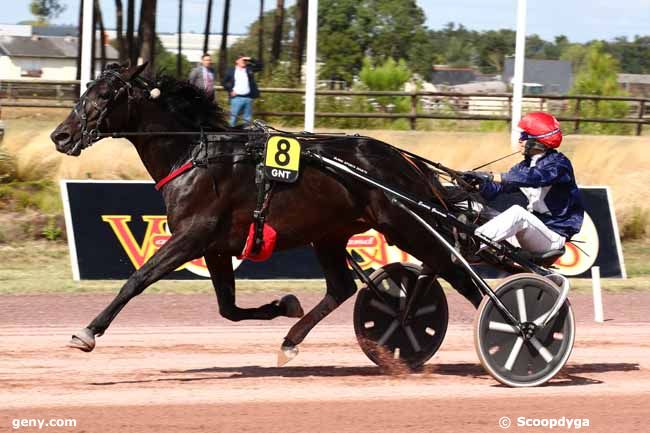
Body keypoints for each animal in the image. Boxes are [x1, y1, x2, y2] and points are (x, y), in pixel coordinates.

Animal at [50, 63, 480, 362]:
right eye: (87, 90)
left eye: (106, 95)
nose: (61, 135)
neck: (196, 155)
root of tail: (407, 163)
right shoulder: (215, 247)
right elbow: (228, 309)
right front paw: (283, 305)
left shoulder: (192, 236)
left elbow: (137, 280)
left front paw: (87, 332)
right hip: (330, 233)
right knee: (342, 287)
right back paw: (292, 341)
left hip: (405, 223)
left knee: (454, 270)